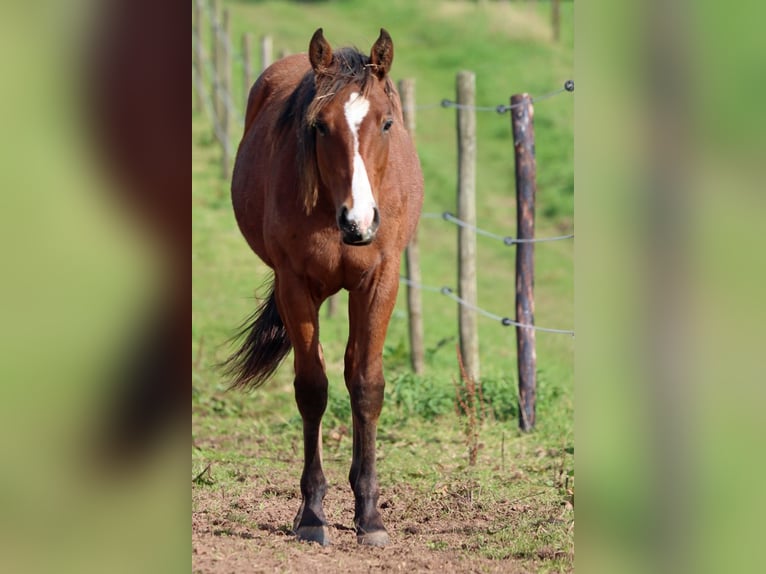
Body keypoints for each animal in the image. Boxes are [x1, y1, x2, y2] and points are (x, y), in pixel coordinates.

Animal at [225, 28, 424, 547]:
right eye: (319, 127)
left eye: (387, 122)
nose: (359, 221)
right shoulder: (295, 285)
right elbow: (312, 388)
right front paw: (313, 513)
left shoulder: (379, 282)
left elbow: (367, 385)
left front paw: (370, 516)